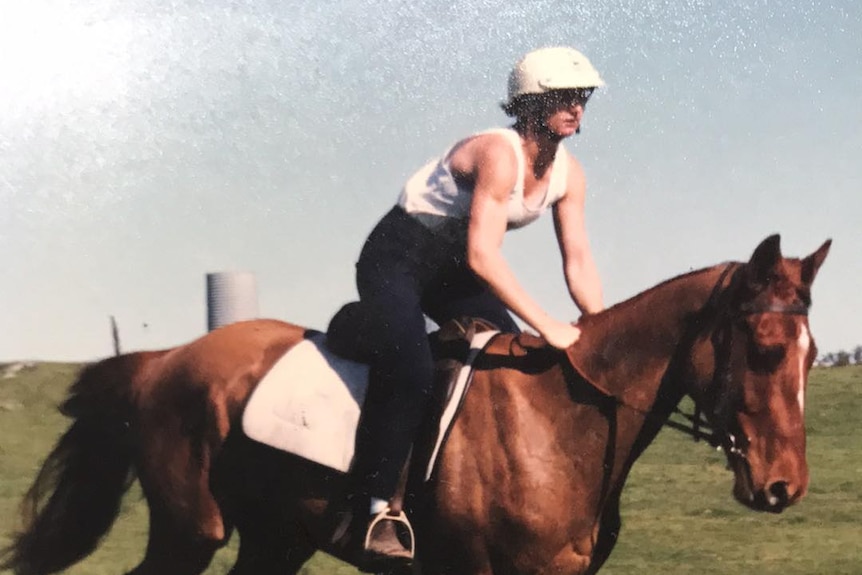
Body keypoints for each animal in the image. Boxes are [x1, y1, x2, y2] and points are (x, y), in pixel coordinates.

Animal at [3, 234, 832, 575]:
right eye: (765, 348)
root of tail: (163, 361)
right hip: (188, 531)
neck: (563, 422)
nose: (784, 486)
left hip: (276, 536)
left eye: (812, 352)